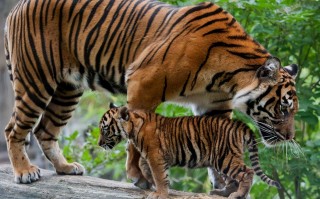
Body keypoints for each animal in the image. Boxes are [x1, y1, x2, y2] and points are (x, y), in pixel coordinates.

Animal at [3, 0, 298, 185]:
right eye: (284, 108)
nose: (289, 137)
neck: (227, 78)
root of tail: (17, 6)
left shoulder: (215, 106)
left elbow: (216, 142)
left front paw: (223, 183)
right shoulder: (143, 84)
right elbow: (135, 140)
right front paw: (138, 177)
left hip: (68, 89)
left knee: (45, 130)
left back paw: (66, 168)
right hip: (35, 80)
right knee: (14, 129)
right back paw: (25, 172)